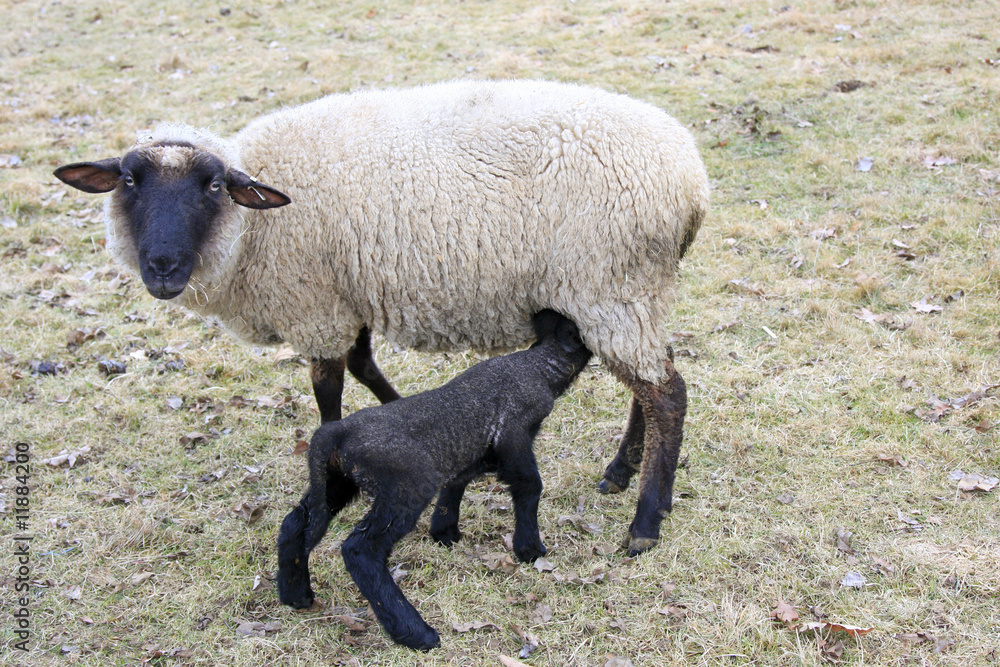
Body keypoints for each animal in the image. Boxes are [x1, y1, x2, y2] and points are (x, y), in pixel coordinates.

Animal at [53, 79, 709, 555]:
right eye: (129, 180)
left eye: (212, 186)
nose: (162, 267)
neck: (252, 230)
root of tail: (693, 180)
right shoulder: (349, 295)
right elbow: (365, 367)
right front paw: (402, 418)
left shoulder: (315, 305)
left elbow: (328, 392)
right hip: (627, 293)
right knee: (650, 383)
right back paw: (620, 472)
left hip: (611, 285)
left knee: (666, 393)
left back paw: (646, 521)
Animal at [276, 310, 593, 650]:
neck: (540, 365)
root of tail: (334, 433)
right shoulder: (514, 433)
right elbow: (529, 485)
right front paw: (530, 549)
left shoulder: (474, 450)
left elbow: (457, 481)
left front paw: (445, 532)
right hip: (406, 486)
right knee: (360, 551)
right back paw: (415, 632)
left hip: (336, 481)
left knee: (295, 523)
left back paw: (295, 595)